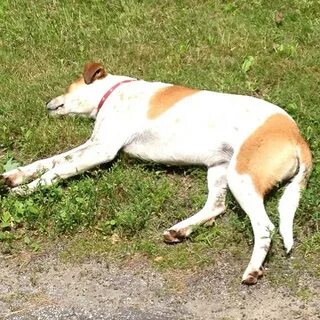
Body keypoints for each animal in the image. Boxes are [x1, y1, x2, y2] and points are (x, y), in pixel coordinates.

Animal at [3, 62, 312, 284]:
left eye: (68, 87)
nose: (46, 103)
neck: (114, 93)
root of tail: (296, 135)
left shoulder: (101, 150)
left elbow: (56, 171)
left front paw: (24, 191)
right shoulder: (91, 146)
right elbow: (49, 162)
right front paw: (15, 176)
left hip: (242, 176)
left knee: (265, 226)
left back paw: (253, 270)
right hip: (220, 169)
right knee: (217, 206)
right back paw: (180, 230)